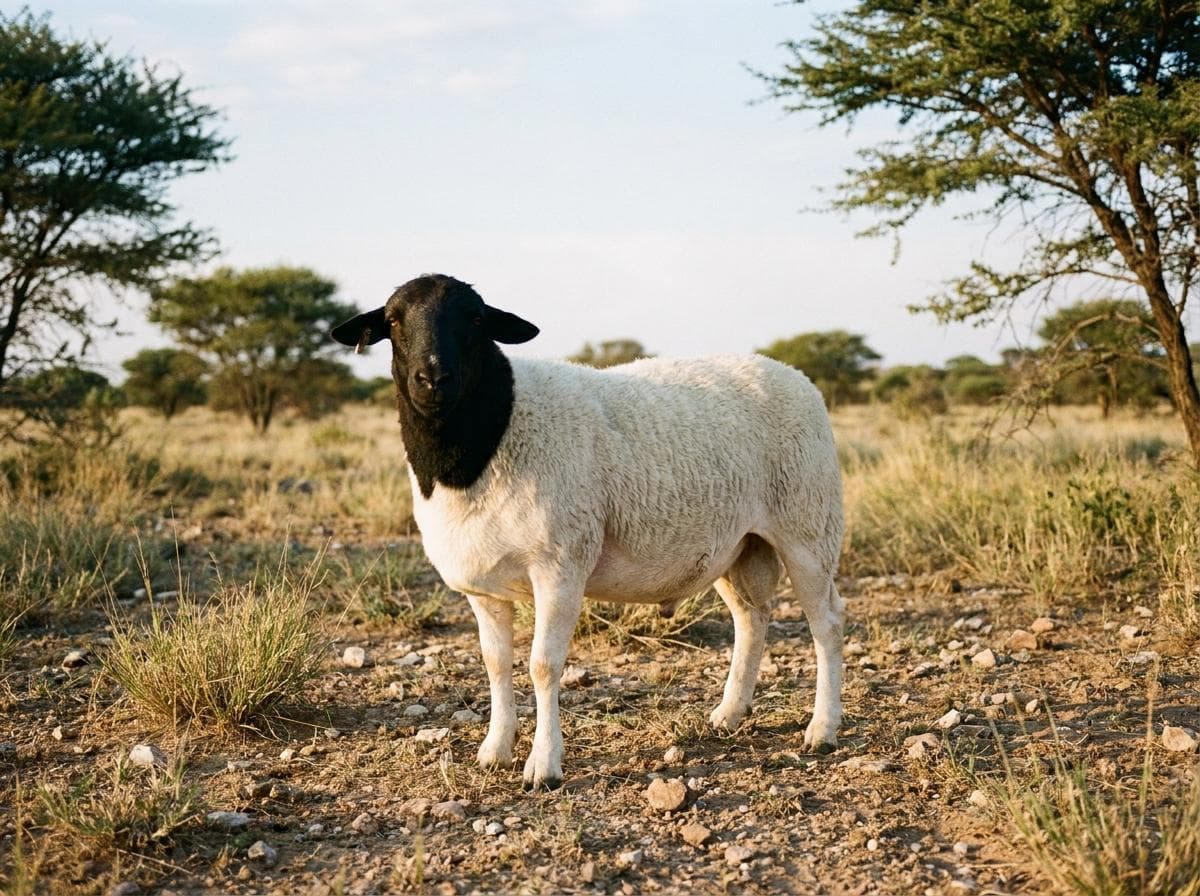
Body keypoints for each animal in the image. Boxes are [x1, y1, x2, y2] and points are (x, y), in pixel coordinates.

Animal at [332, 274, 845, 790]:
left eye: (476, 319)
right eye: (393, 320)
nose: (433, 378)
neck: (485, 441)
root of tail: (791, 373)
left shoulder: (559, 567)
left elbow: (543, 665)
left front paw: (543, 765)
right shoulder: (483, 588)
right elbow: (495, 664)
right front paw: (495, 751)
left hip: (808, 524)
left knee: (826, 624)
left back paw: (822, 728)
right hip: (740, 544)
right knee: (751, 618)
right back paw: (729, 714)